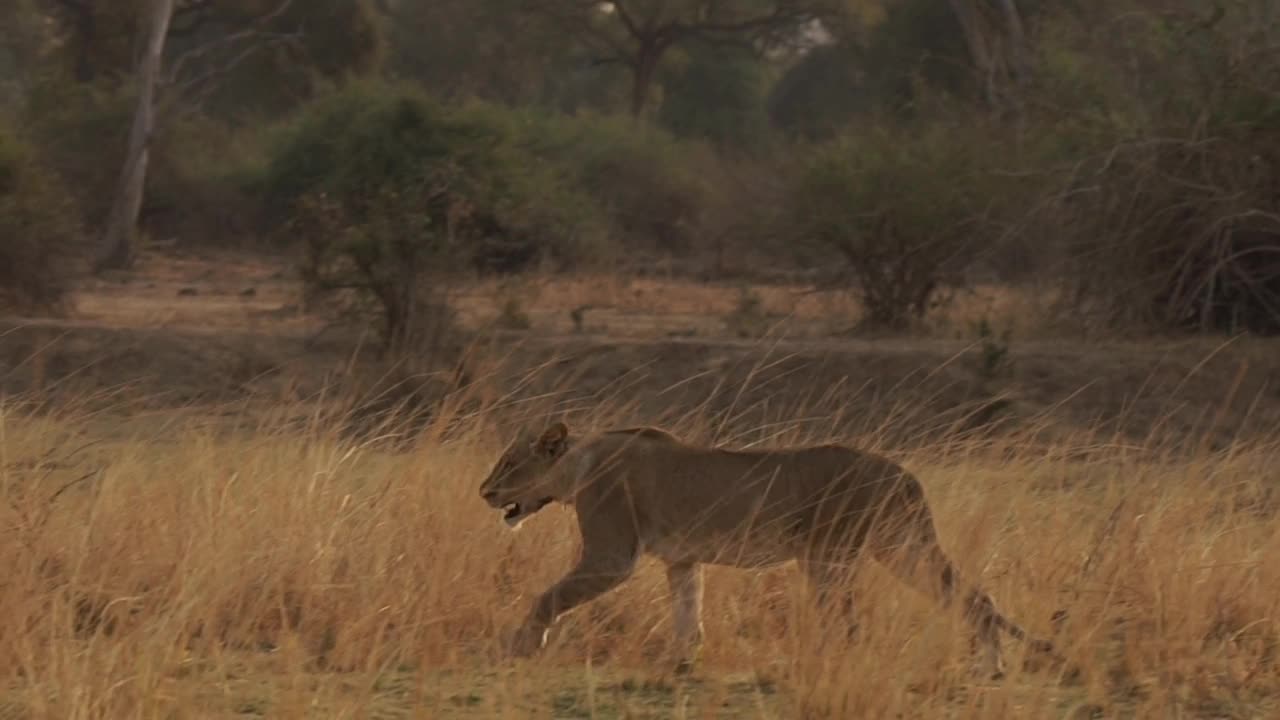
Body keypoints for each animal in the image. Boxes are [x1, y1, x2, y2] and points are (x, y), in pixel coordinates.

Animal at [476, 417, 1054, 676]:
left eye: (509, 463)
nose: (484, 492)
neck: (577, 468)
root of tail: (902, 472)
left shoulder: (611, 555)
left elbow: (548, 596)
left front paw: (521, 644)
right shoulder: (683, 560)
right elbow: (688, 611)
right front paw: (684, 662)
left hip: (829, 556)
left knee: (848, 623)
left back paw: (828, 661)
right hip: (901, 548)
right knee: (977, 598)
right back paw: (991, 667)